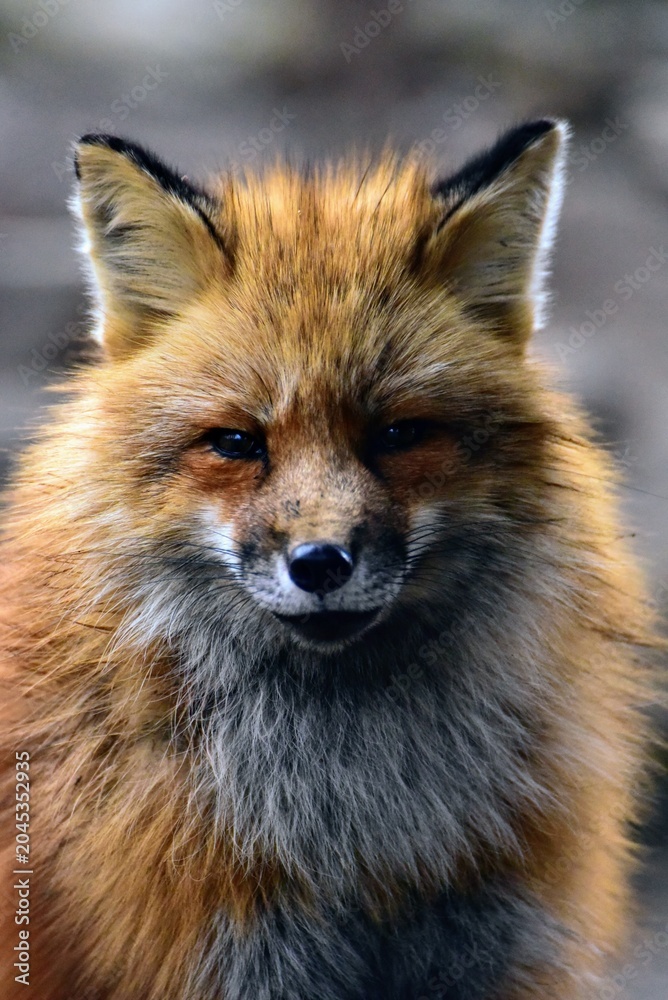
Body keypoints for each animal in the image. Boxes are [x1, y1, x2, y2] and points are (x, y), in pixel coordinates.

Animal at [0, 119, 659, 999]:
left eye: (398, 434)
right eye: (236, 443)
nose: (320, 563)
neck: (359, 838)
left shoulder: (495, 947)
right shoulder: (227, 956)